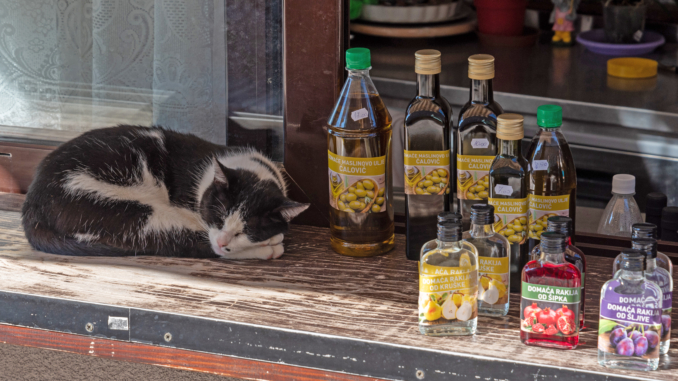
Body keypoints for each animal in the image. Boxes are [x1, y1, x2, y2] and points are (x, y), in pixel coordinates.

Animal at [19, 124, 310, 258]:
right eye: (218, 216)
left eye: (247, 229)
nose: (223, 239)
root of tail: (32, 201)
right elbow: (209, 243)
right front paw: (267, 243)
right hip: (121, 208)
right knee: (176, 240)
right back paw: (269, 249)